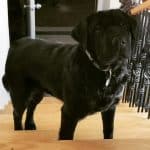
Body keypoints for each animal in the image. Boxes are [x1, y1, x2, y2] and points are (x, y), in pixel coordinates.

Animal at [2, 9, 136, 139]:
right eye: (97, 29)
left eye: (123, 25)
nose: (119, 41)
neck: (107, 72)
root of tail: (16, 43)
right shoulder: (69, 113)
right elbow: (66, 136)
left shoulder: (110, 108)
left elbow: (109, 131)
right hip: (19, 93)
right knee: (17, 113)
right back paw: (19, 131)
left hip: (38, 91)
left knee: (31, 106)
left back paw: (30, 125)